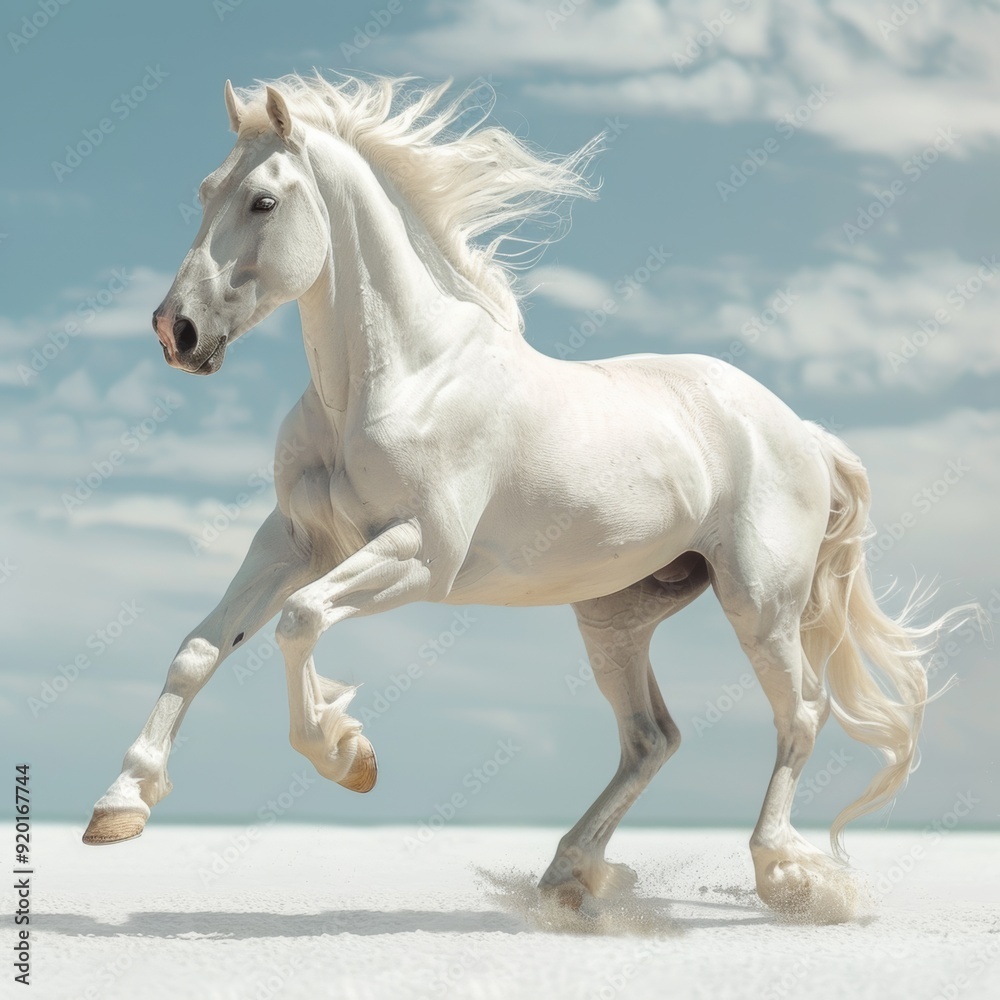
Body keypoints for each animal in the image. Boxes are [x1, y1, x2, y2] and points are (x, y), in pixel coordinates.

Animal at [83, 72, 958, 923]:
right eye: (204, 191)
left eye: (263, 201)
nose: (176, 332)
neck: (399, 377)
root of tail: (802, 431)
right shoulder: (294, 542)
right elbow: (201, 648)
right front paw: (121, 805)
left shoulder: (420, 556)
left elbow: (298, 622)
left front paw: (347, 755)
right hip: (613, 617)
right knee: (652, 738)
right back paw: (567, 876)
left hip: (760, 602)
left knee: (800, 714)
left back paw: (785, 877)